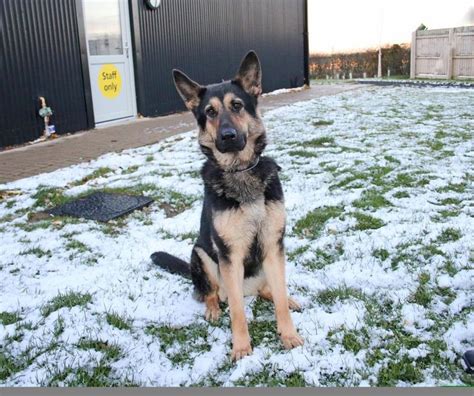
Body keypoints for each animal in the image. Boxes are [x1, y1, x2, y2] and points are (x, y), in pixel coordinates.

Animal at [154, 51, 306, 360]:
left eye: (237, 105)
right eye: (210, 112)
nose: (227, 136)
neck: (240, 171)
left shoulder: (273, 245)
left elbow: (279, 300)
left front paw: (288, 334)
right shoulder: (229, 256)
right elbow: (237, 311)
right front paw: (241, 347)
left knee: (269, 291)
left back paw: (285, 298)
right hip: (201, 254)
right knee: (210, 293)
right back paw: (212, 309)